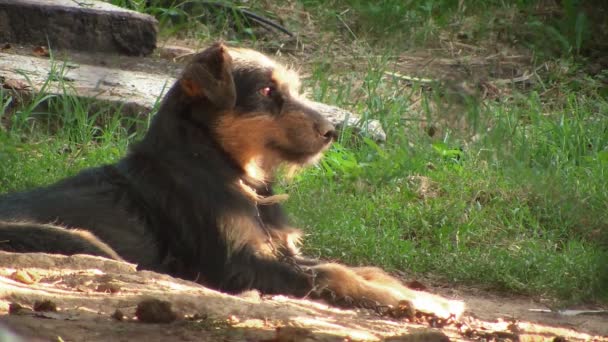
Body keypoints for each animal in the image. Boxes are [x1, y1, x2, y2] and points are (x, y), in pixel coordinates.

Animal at [0, 44, 464, 320]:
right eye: (266, 91)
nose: (332, 131)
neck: (227, 170)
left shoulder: (280, 250)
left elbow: (359, 267)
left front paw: (429, 296)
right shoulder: (240, 266)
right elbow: (335, 274)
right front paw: (419, 302)